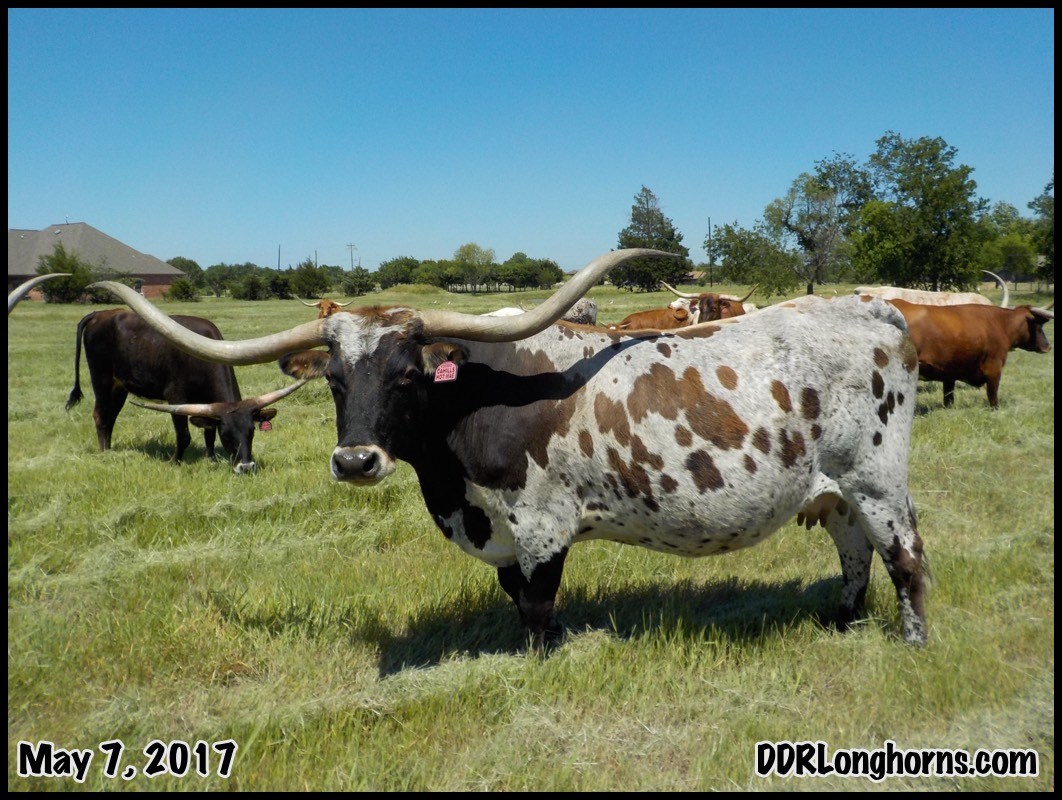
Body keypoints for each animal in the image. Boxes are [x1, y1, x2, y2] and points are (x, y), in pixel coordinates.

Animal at [65, 309, 307, 473]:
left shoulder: (208, 403)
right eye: (227, 435)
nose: (246, 467)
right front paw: (175, 461)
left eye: (252, 431)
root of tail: (100, 313)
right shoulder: (175, 396)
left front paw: (210, 458)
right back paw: (104, 453)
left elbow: (208, 431)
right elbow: (184, 435)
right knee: (100, 416)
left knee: (110, 417)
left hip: (120, 387)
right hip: (102, 380)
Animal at [884, 298, 1053, 409]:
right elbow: (993, 397)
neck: (1000, 323)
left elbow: (949, 398)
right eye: (1038, 325)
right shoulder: (994, 369)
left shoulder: (949, 372)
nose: (1048, 346)